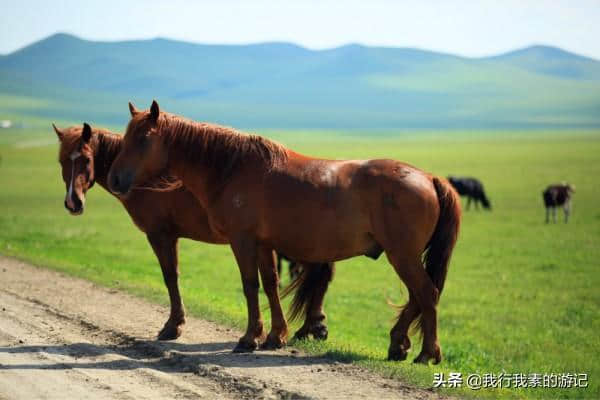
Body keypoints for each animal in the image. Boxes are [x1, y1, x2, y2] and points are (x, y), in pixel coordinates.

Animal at [51, 122, 332, 340]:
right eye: (62, 160)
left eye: (86, 159)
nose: (73, 202)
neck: (145, 176)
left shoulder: (160, 235)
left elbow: (170, 277)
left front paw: (173, 326)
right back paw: (311, 326)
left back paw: (312, 326)